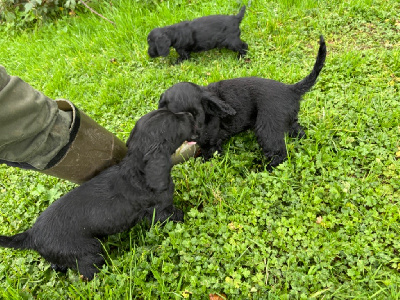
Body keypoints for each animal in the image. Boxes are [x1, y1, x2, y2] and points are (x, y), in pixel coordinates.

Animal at [0, 109, 198, 280]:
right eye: (176, 121)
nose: (190, 114)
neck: (138, 168)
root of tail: (32, 235)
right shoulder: (161, 210)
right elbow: (173, 216)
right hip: (89, 250)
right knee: (88, 273)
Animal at [158, 35, 326, 169]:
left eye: (198, 114)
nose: (192, 137)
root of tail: (291, 89)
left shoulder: (211, 144)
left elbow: (208, 155)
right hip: (287, 121)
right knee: (298, 131)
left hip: (267, 128)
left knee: (280, 154)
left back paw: (265, 169)